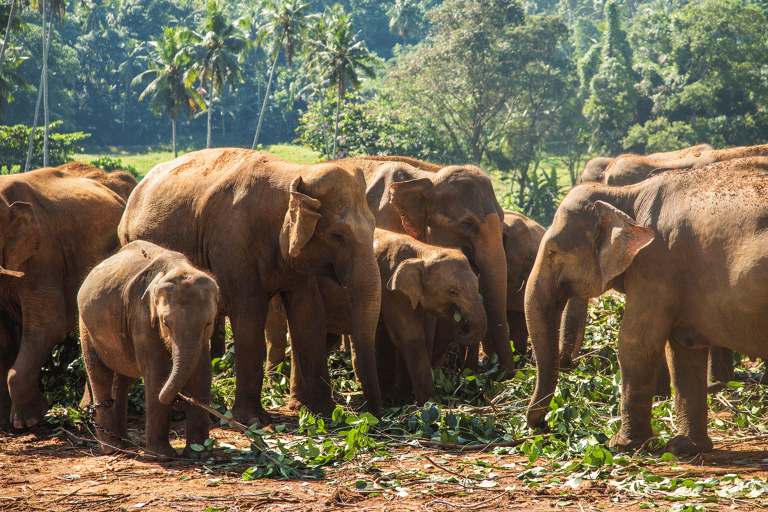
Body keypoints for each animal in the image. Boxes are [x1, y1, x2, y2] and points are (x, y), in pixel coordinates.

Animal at [0, 168, 126, 430]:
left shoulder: (43, 256)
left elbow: (48, 326)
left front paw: (29, 421)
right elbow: (3, 337)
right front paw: (4, 421)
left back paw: (86, 411)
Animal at [78, 241, 220, 460]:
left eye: (209, 323)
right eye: (165, 323)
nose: (181, 401)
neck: (178, 267)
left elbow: (202, 372)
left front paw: (199, 454)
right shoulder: (141, 316)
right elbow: (157, 371)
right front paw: (162, 456)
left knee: (124, 380)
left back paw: (125, 442)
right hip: (87, 326)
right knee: (99, 373)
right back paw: (112, 448)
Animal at [118, 148, 382, 423]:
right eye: (337, 235)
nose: (375, 415)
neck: (294, 172)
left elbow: (308, 312)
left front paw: (325, 415)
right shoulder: (231, 243)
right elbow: (250, 311)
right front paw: (253, 419)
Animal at [265, 228, 487, 405]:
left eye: (477, 284)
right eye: (452, 292)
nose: (461, 322)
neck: (423, 251)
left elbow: (419, 337)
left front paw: (403, 399)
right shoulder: (390, 288)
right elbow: (409, 337)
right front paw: (430, 404)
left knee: (325, 338)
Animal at [525, 156, 768, 455]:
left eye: (553, 252)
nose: (543, 426)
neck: (626, 196)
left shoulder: (657, 265)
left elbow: (634, 342)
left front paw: (622, 445)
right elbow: (684, 349)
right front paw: (685, 447)